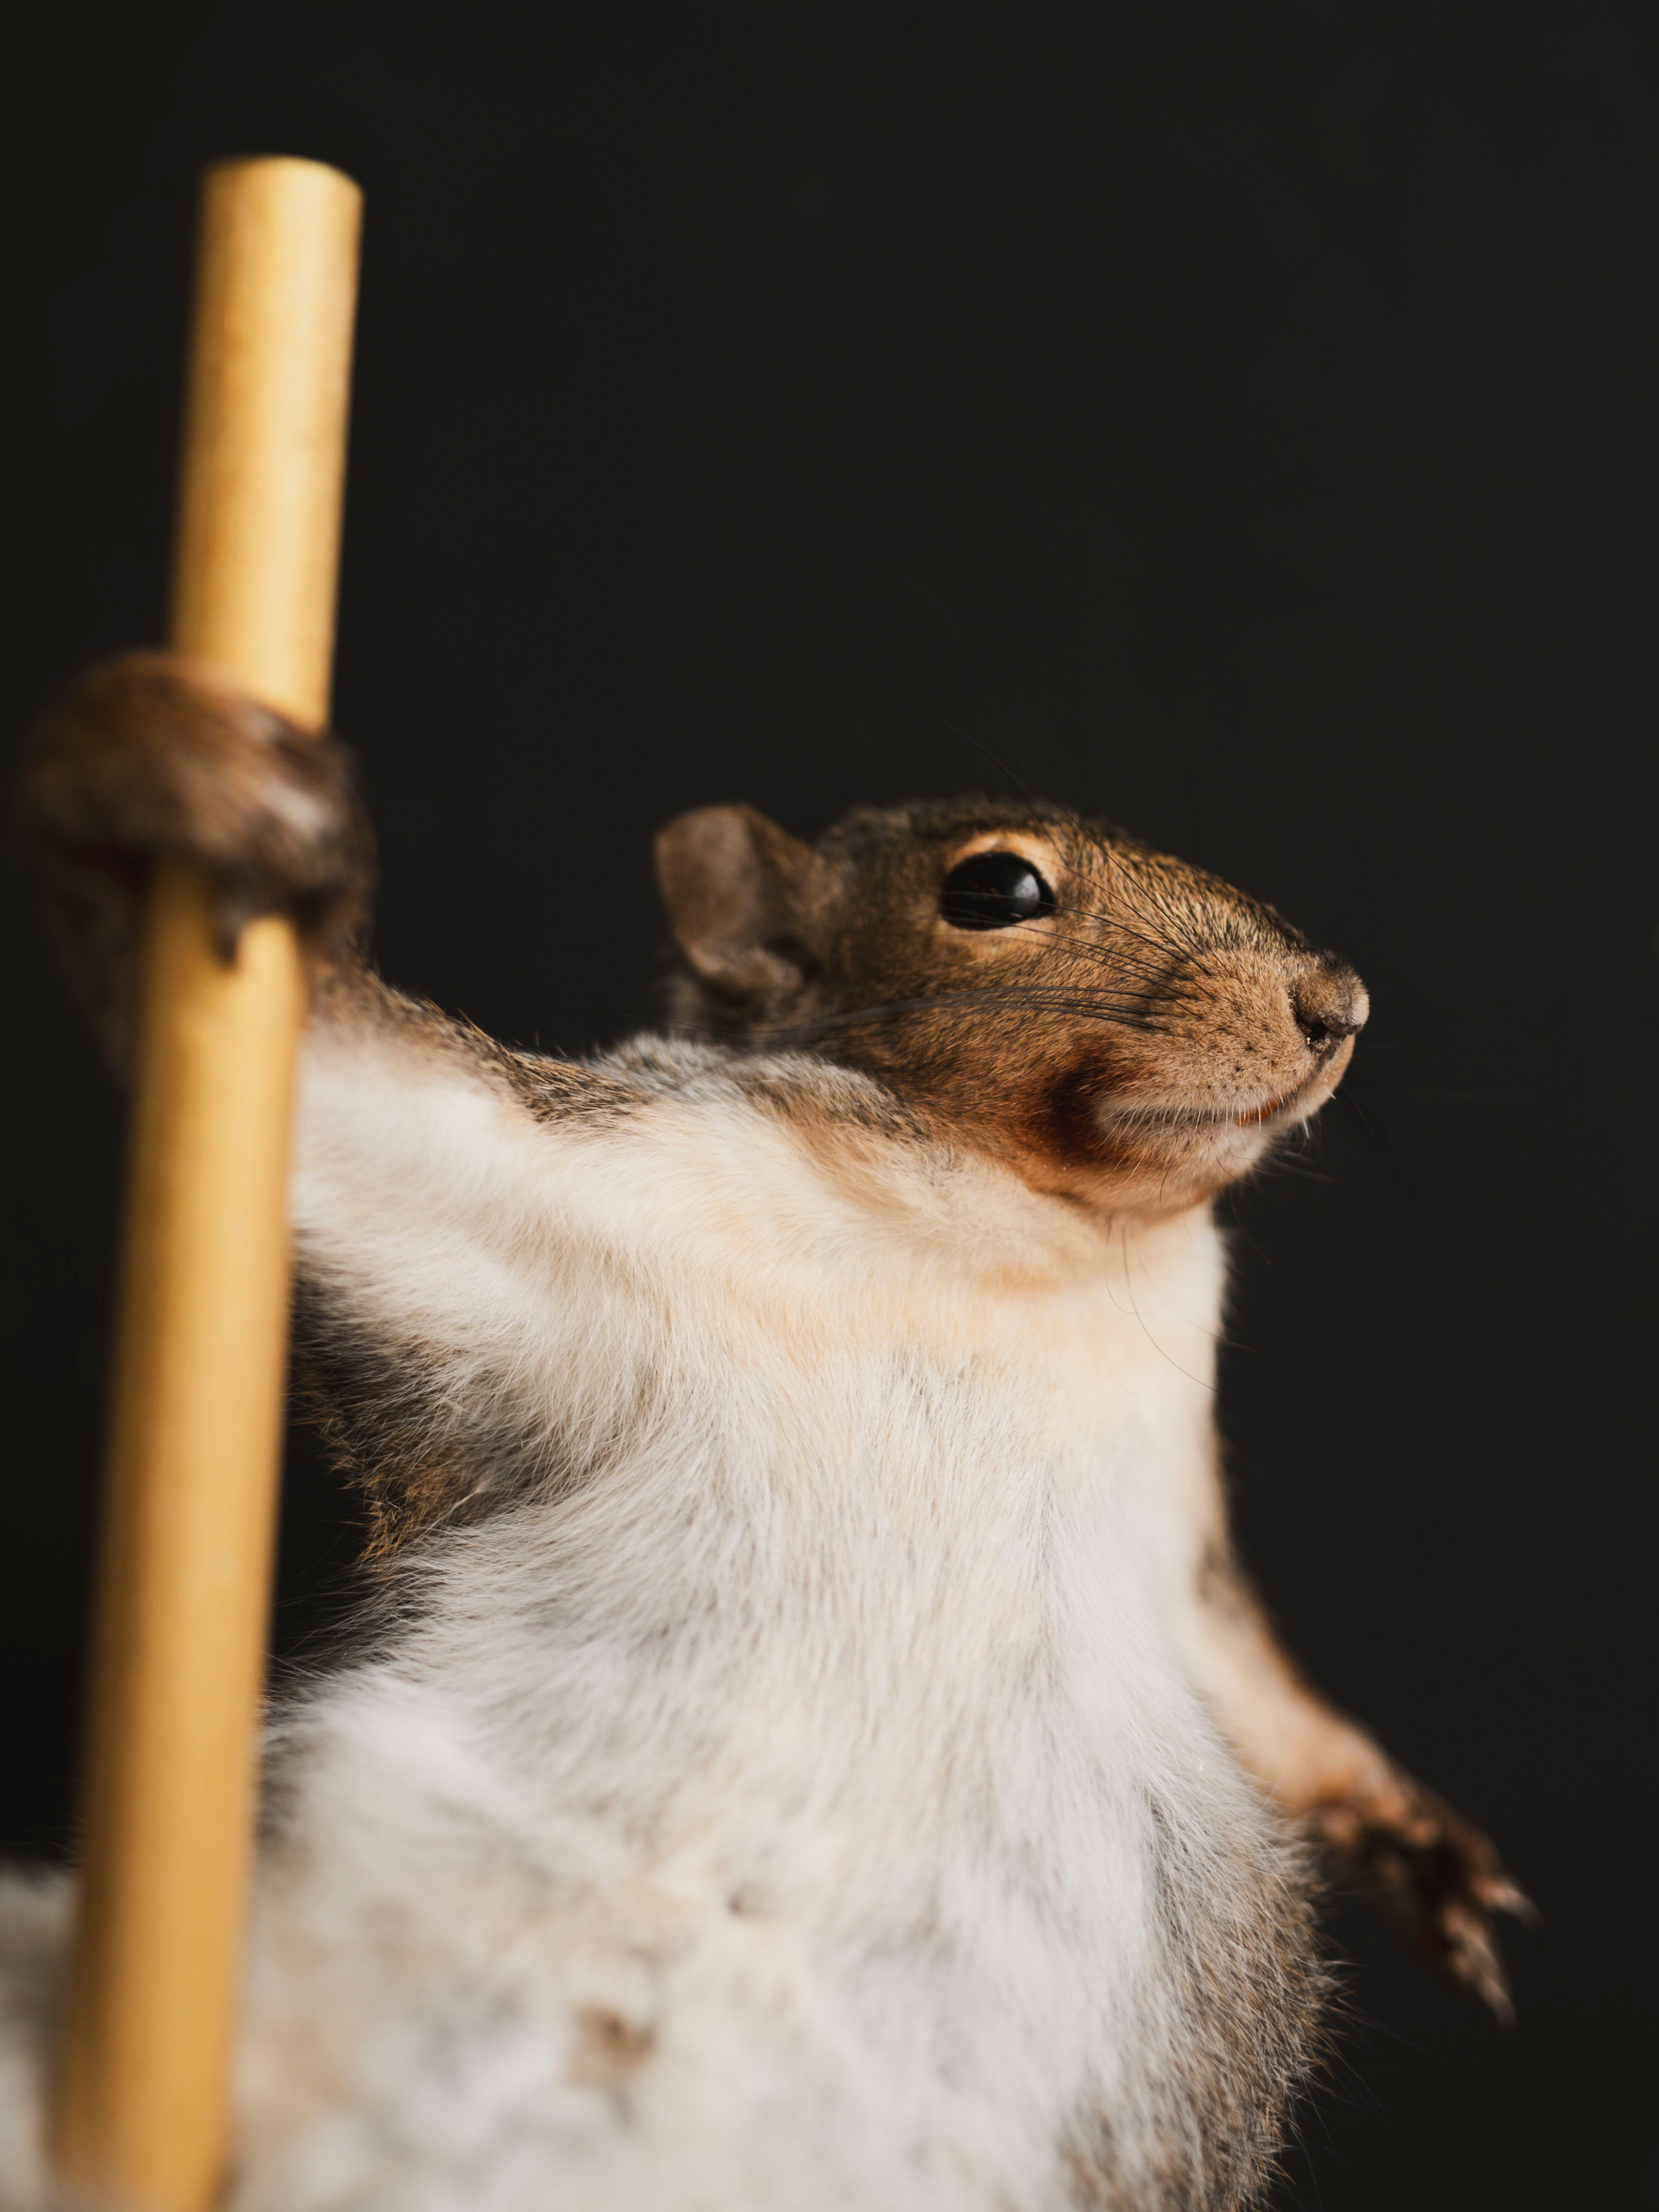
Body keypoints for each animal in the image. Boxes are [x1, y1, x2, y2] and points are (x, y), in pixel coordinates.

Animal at [0, 653, 1527, 2212]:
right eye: (991, 888)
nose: (1336, 998)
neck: (1044, 1244)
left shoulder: (1176, 1517)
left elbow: (1247, 1668)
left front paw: (1412, 1837)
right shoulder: (560, 1209)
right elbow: (357, 1107)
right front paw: (153, 788)